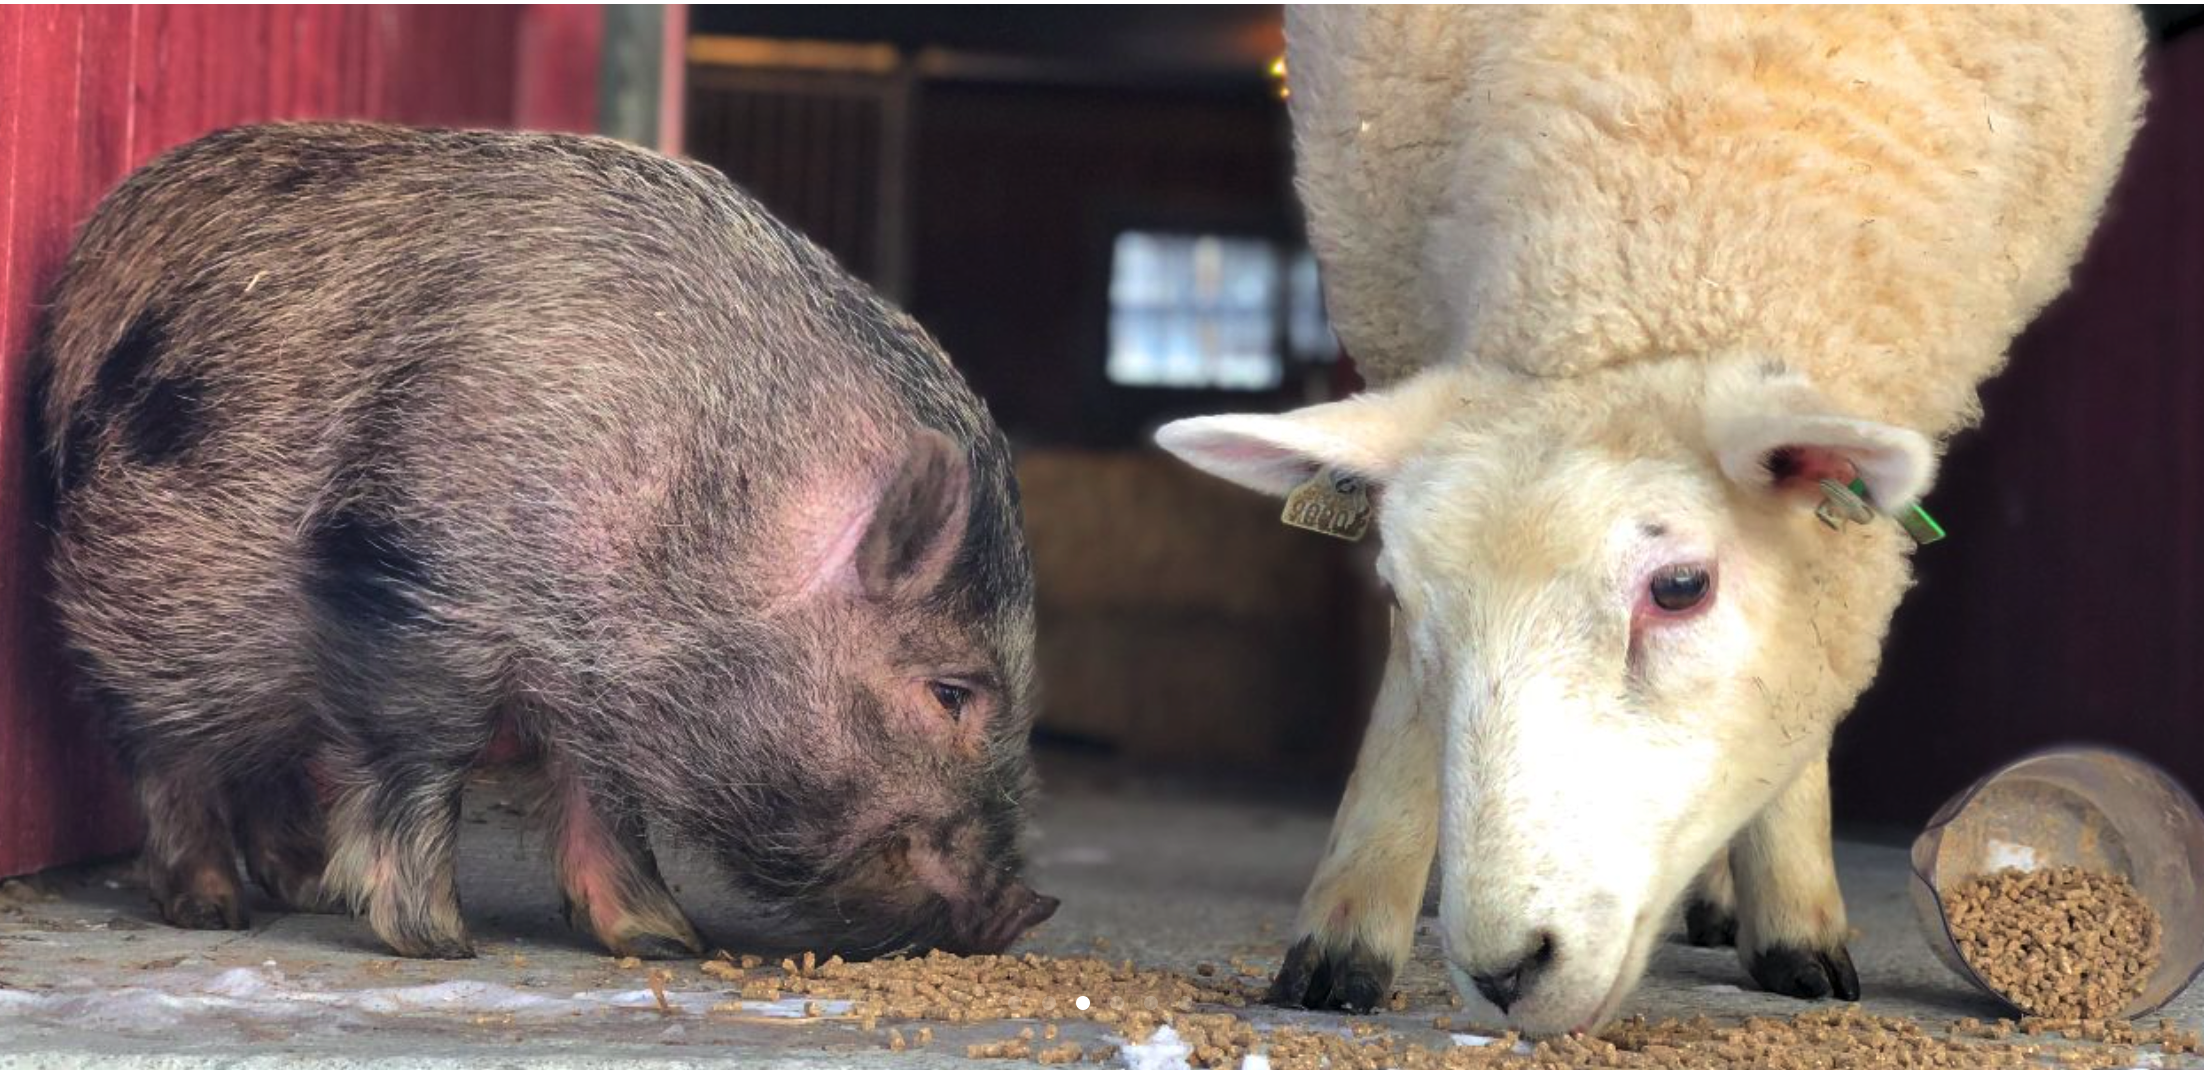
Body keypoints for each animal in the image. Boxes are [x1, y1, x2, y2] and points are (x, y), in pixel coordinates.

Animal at [32, 122, 1057, 957]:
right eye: (952, 692)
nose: (1026, 909)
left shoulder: (600, 666)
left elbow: (601, 789)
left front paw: (664, 943)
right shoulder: (408, 577)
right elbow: (424, 751)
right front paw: (440, 943)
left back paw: (305, 887)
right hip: (140, 598)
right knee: (165, 746)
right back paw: (214, 911)